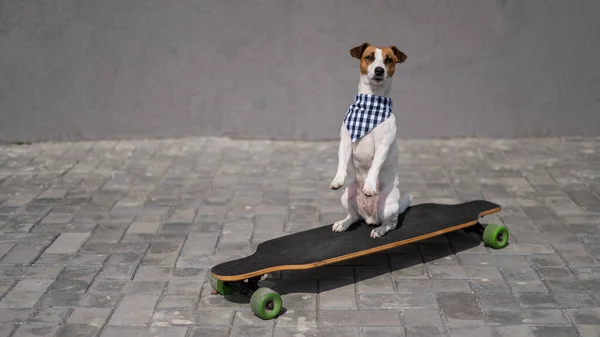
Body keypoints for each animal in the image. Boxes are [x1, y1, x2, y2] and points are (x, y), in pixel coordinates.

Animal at [330, 42, 410, 238]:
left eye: (389, 60)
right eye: (369, 57)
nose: (379, 70)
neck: (370, 103)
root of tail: (370, 217)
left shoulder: (383, 146)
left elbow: (374, 167)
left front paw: (369, 186)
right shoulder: (345, 141)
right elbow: (341, 163)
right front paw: (337, 180)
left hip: (387, 205)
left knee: (391, 223)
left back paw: (379, 230)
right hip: (347, 197)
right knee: (353, 216)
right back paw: (343, 223)